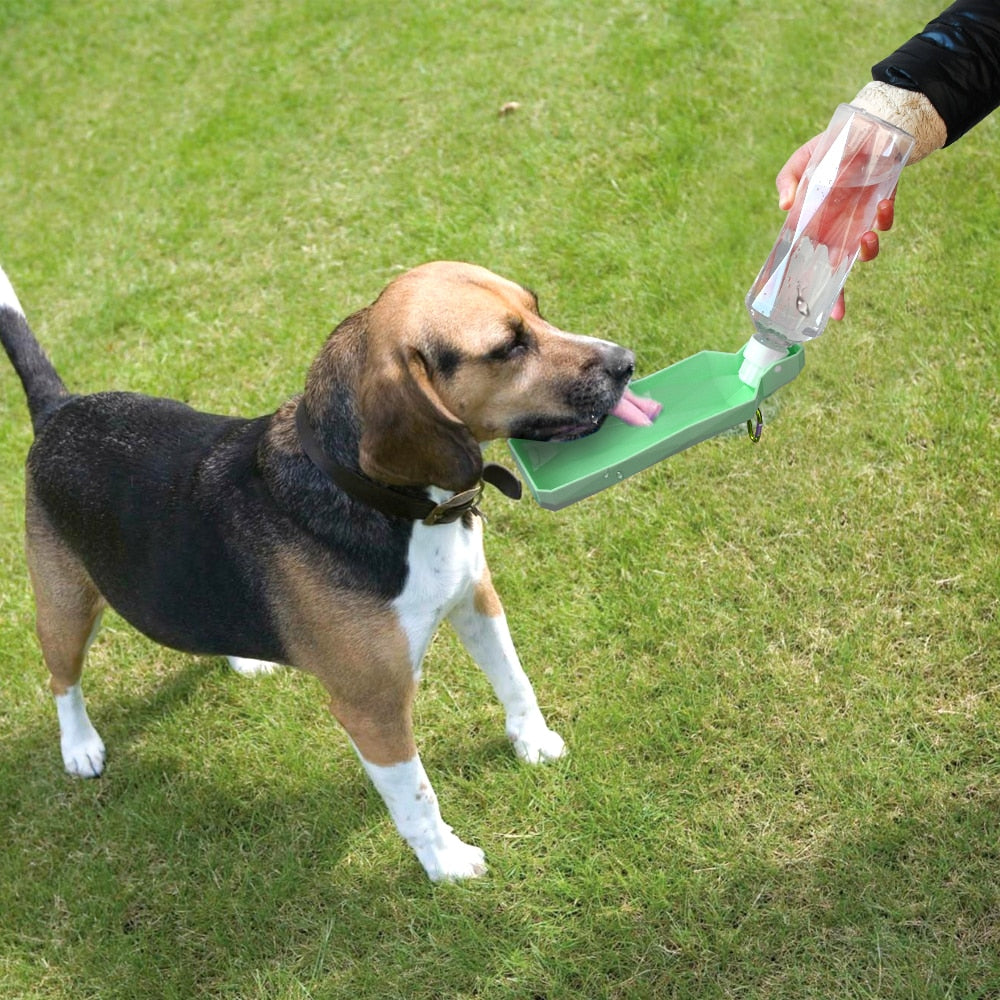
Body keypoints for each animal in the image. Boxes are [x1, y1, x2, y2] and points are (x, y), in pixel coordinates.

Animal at [3, 262, 660, 880]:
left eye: (536, 309)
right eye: (508, 347)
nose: (626, 363)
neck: (392, 504)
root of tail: (60, 410)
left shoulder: (474, 599)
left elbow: (515, 679)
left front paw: (534, 742)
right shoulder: (371, 707)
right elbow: (417, 797)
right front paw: (446, 862)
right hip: (66, 608)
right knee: (62, 679)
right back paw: (80, 745)